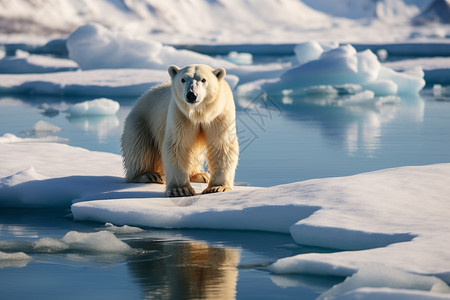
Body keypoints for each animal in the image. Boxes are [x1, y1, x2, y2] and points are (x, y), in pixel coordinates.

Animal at [119, 63, 239, 197]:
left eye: (203, 80)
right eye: (183, 79)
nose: (191, 95)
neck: (199, 114)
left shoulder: (220, 115)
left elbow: (222, 146)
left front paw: (217, 187)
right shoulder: (180, 114)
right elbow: (178, 145)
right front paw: (180, 190)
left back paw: (200, 175)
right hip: (141, 121)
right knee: (139, 147)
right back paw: (149, 175)